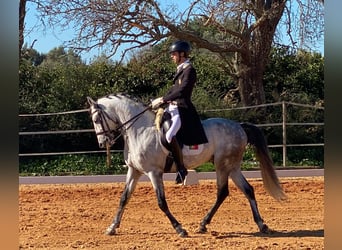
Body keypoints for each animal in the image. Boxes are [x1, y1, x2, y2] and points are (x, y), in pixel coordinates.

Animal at [88, 93, 286, 236]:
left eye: (97, 120)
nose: (102, 143)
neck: (140, 130)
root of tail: (239, 126)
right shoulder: (134, 171)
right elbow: (124, 198)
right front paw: (112, 227)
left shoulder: (154, 172)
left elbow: (161, 202)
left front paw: (179, 228)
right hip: (233, 167)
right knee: (247, 190)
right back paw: (261, 225)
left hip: (223, 165)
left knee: (222, 192)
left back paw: (203, 224)